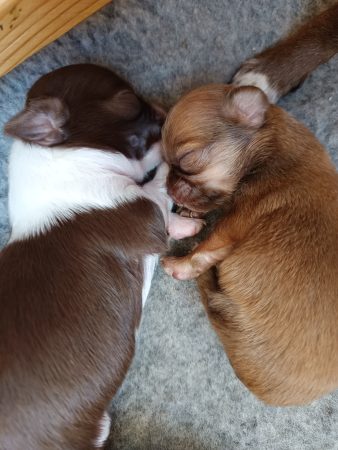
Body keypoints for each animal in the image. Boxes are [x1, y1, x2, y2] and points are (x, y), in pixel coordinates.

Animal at [0, 64, 202, 450]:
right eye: (127, 101)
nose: (163, 110)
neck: (65, 160)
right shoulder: (143, 212)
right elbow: (158, 186)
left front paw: (185, 224)